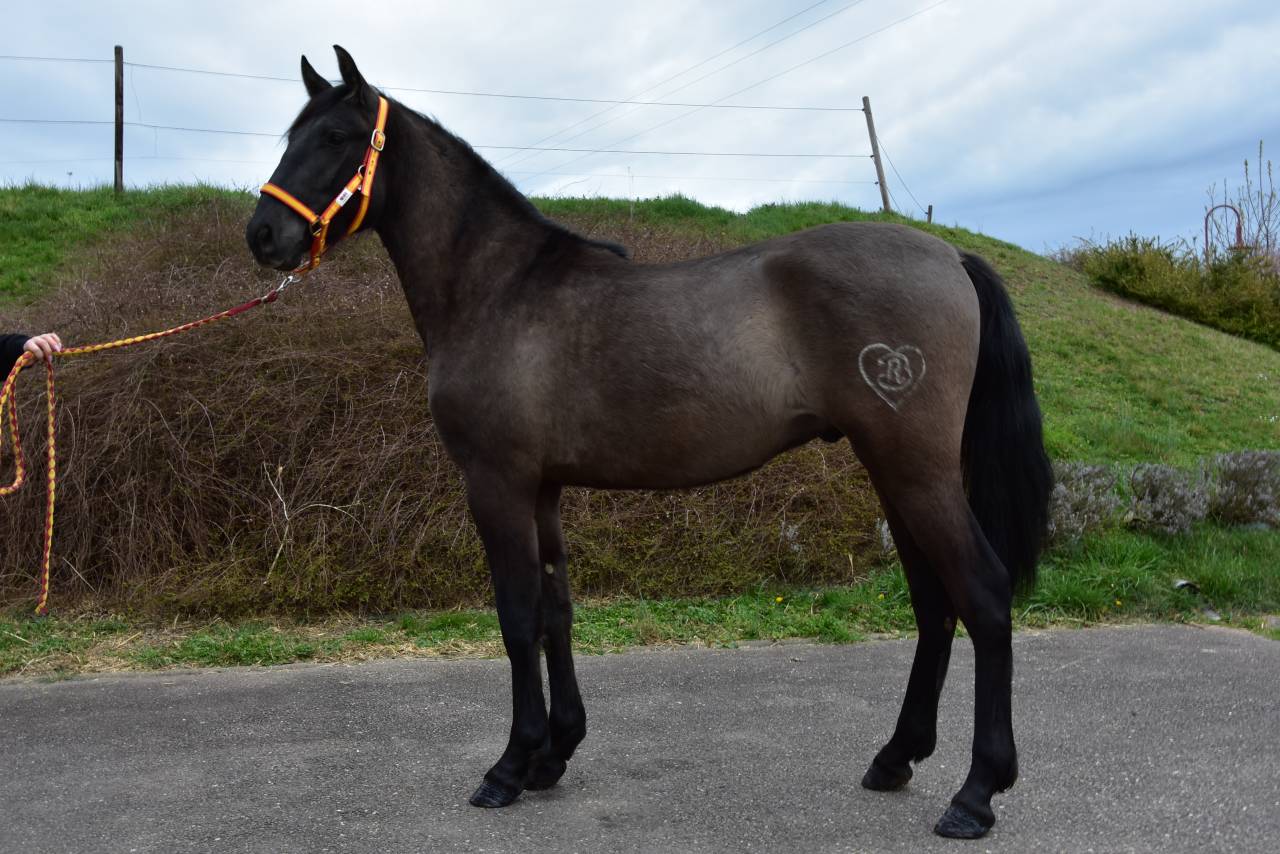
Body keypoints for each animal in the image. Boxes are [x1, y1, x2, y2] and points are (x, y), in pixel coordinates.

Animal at [246, 46, 1052, 841]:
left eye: (335, 137)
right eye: (291, 135)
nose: (263, 235)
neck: (499, 290)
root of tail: (949, 257)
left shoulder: (497, 482)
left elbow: (516, 617)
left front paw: (509, 767)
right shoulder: (543, 488)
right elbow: (556, 611)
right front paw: (554, 753)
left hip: (916, 470)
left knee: (982, 594)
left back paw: (977, 792)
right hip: (894, 471)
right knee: (932, 603)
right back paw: (895, 757)